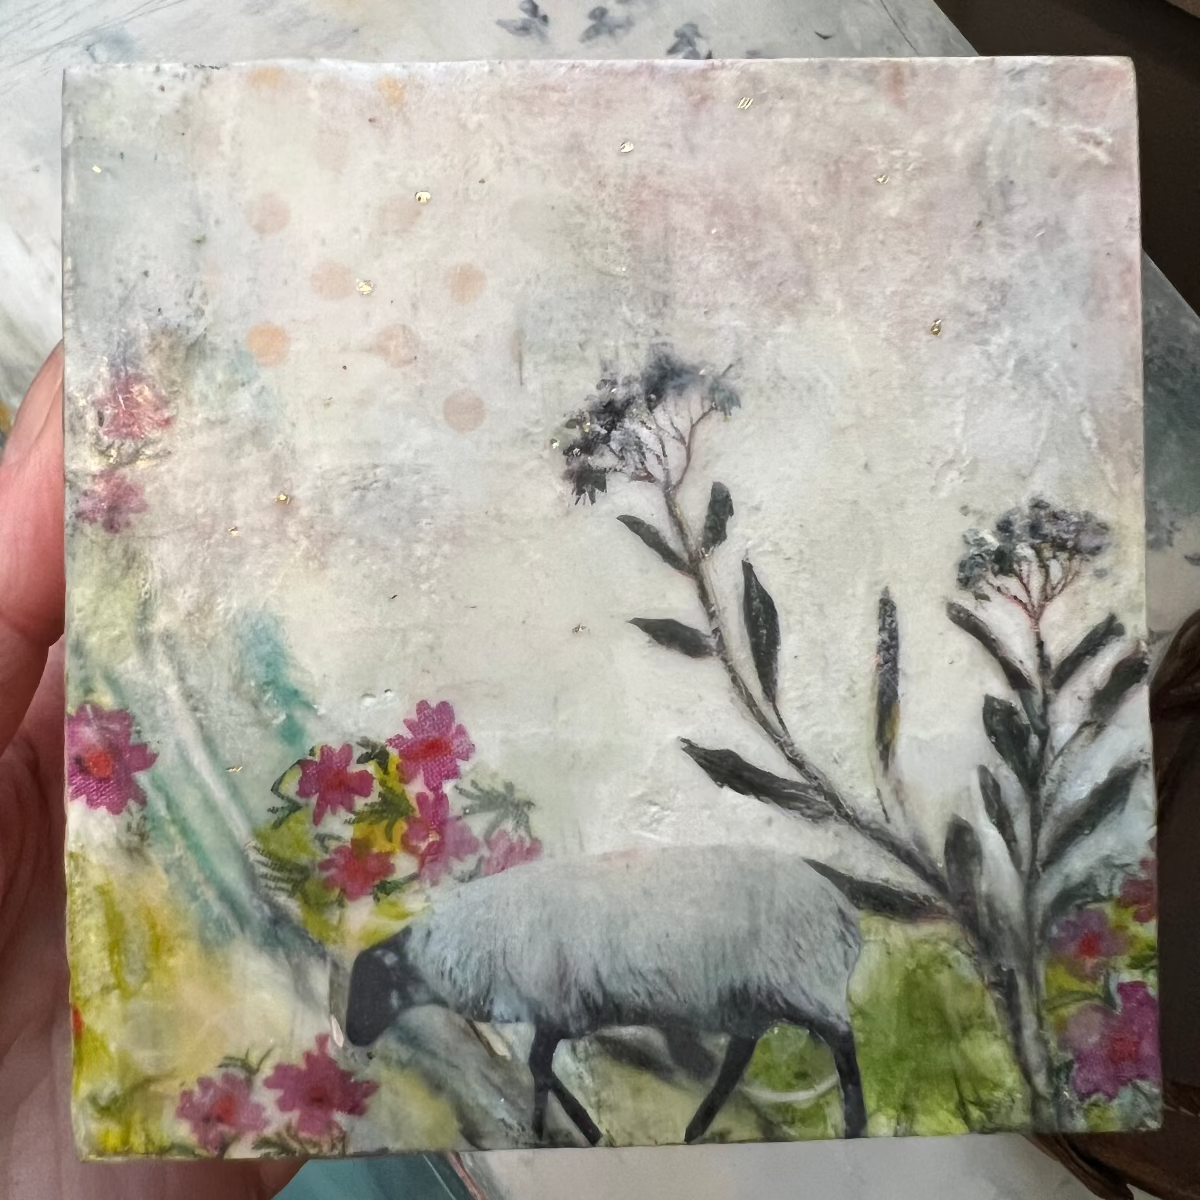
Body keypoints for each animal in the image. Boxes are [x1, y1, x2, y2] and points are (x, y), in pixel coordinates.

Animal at [345, 843, 866, 1144]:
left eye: (372, 986)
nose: (351, 1038)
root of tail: (843, 910)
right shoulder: (556, 1012)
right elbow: (540, 1068)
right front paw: (551, 1127)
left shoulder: (555, 1005)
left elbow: (538, 1067)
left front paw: (572, 1129)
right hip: (749, 999)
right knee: (737, 1059)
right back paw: (695, 1128)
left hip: (800, 981)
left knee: (842, 1041)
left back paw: (856, 1124)